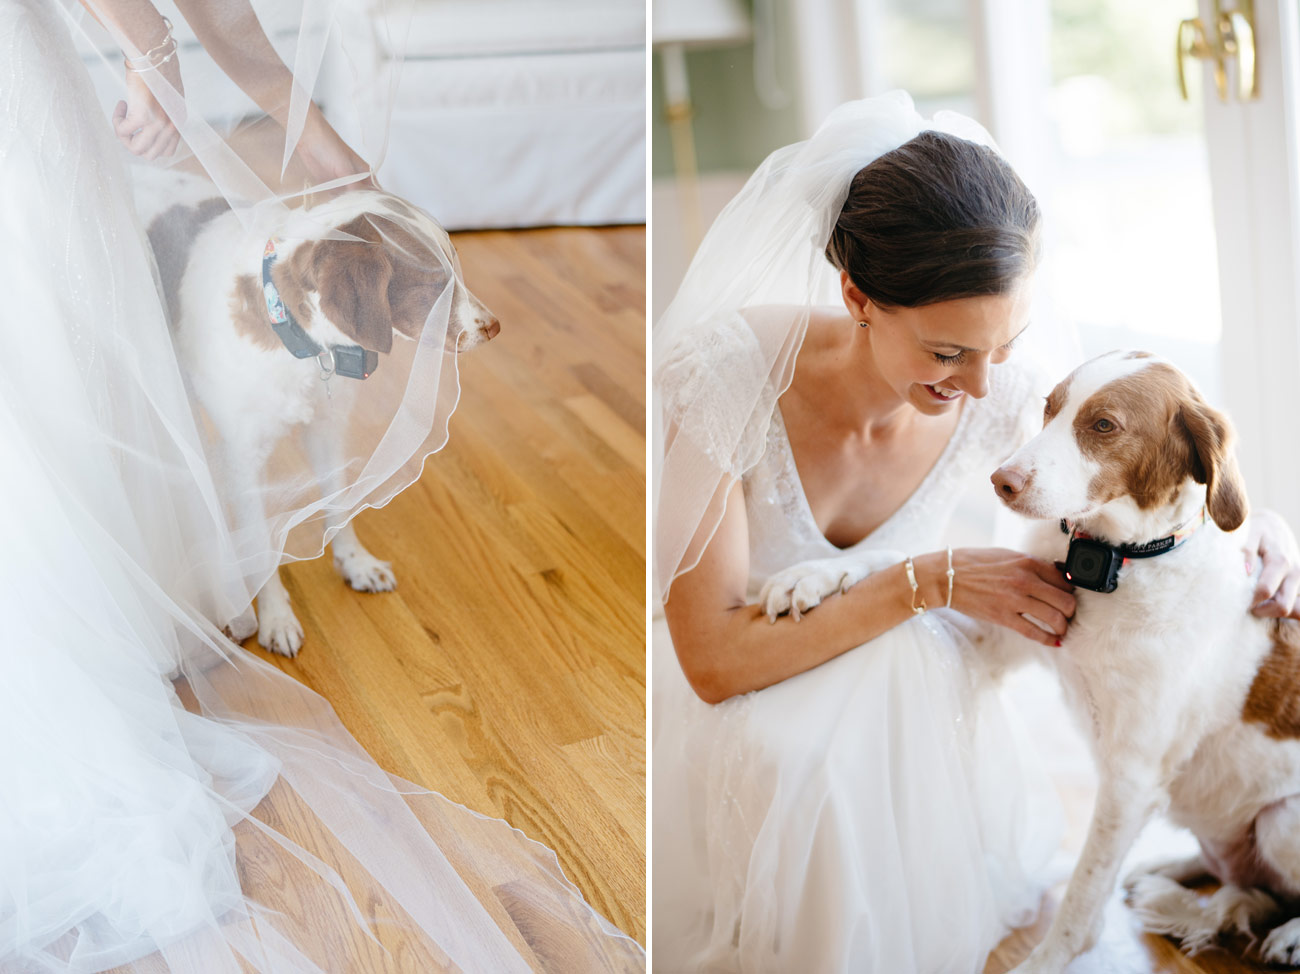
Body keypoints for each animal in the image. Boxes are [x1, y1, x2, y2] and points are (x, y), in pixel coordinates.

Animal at [141, 175, 496, 660]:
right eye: (437, 281)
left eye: (456, 266)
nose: (494, 326)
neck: (298, 343)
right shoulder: (244, 462)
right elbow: (260, 546)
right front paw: (275, 618)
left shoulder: (326, 432)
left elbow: (339, 503)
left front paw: (355, 563)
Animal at [987, 353, 1300, 967]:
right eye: (1049, 408)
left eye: (1104, 425)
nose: (1000, 480)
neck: (1122, 561)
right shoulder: (1018, 623)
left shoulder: (1129, 778)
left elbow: (1082, 891)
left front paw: (1048, 959)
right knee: (1243, 879)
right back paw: (1169, 865)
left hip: (1282, 819)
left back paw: (1289, 935)